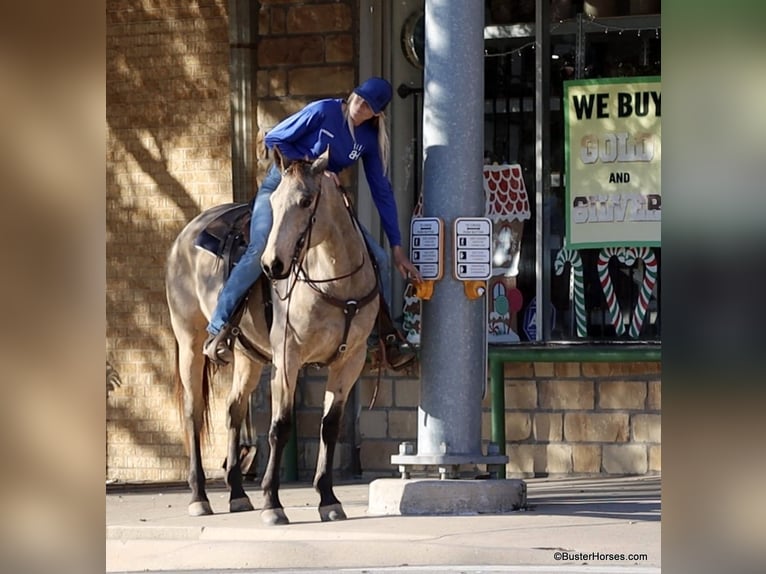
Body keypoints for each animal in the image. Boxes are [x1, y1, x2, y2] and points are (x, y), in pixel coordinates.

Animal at [165, 148, 380, 525]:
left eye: (306, 201)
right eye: (275, 203)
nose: (272, 265)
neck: (337, 284)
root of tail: (186, 234)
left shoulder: (350, 361)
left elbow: (329, 426)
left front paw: (328, 499)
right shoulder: (287, 357)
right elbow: (280, 426)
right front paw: (272, 502)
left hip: (247, 357)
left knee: (234, 410)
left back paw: (237, 494)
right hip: (189, 342)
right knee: (194, 412)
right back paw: (199, 497)